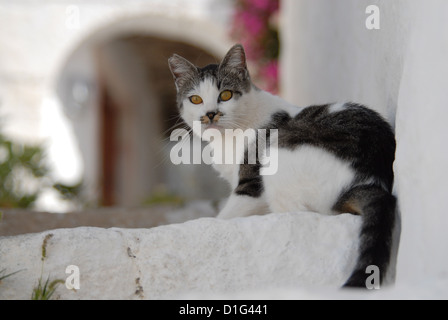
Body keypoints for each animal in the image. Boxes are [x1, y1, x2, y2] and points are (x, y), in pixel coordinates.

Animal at [168, 44, 396, 288]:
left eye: (225, 95)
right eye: (196, 99)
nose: (210, 114)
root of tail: (369, 178)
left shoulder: (252, 185)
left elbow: (225, 215)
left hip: (279, 161)